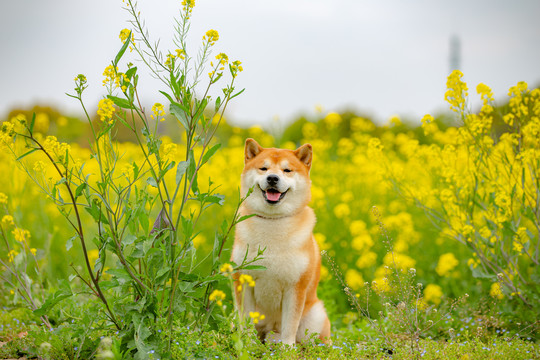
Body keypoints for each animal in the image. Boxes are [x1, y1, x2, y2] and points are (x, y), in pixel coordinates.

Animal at [231, 136, 332, 344]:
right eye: (263, 168)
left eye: (287, 170)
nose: (272, 178)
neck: (272, 222)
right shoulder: (244, 280)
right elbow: (246, 320)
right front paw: (246, 344)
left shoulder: (295, 287)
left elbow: (290, 325)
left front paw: (287, 347)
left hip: (315, 317)